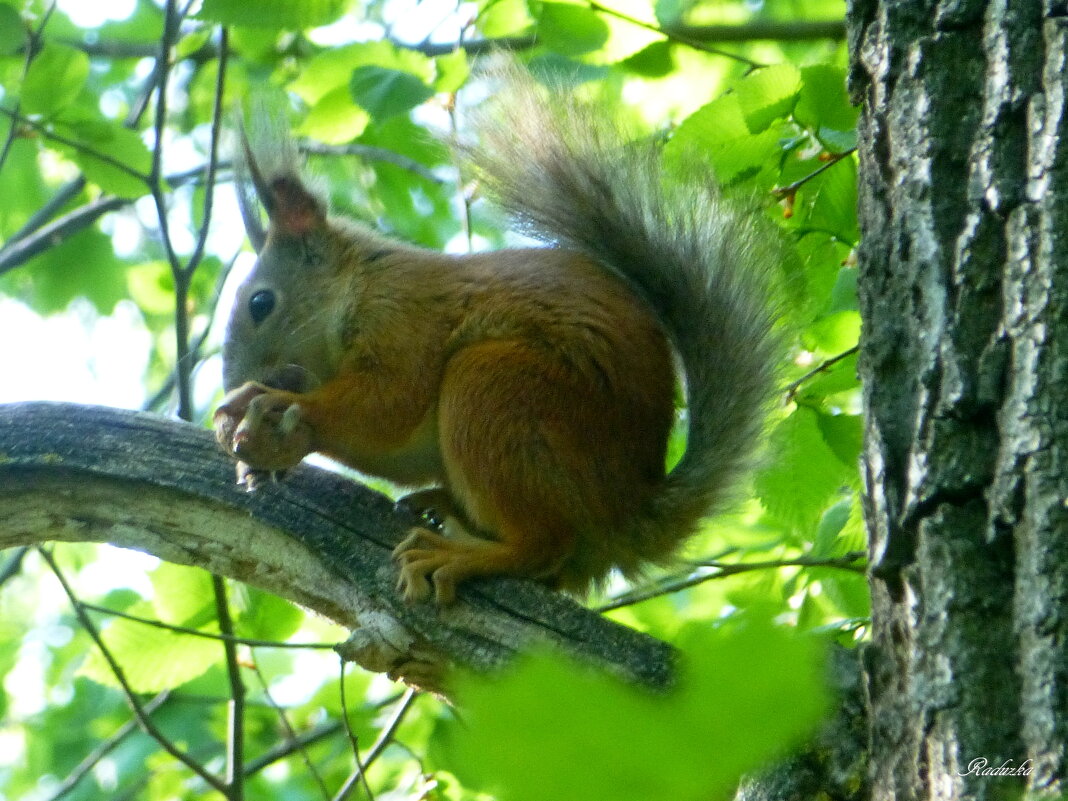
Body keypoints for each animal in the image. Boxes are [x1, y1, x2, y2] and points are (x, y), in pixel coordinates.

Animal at [214, 72, 777, 606]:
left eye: (260, 304)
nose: (236, 379)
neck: (359, 284)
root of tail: (625, 515)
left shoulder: (405, 319)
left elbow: (389, 407)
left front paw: (270, 407)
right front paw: (265, 455)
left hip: (499, 390)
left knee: (541, 545)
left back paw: (458, 554)